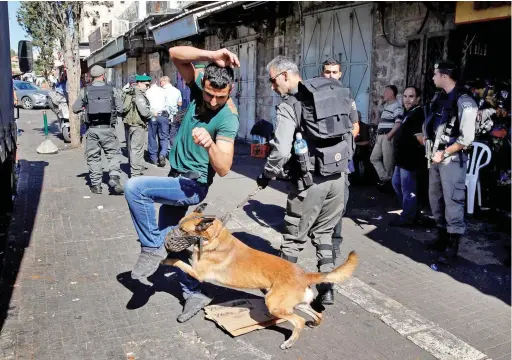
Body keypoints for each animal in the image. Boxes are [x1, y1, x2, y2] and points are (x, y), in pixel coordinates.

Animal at [162, 204, 358, 350]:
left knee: (299, 321)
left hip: (274, 305)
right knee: (317, 314)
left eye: (182, 230)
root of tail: (304, 274)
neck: (215, 237)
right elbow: (186, 254)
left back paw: (289, 342)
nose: (165, 240)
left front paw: (167, 260)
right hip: (295, 304)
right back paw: (314, 323)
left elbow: (179, 261)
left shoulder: (198, 272)